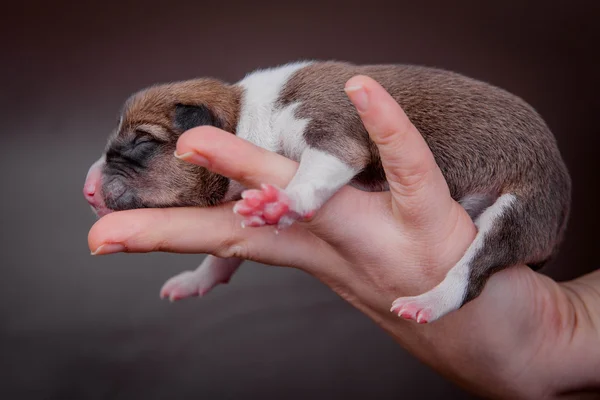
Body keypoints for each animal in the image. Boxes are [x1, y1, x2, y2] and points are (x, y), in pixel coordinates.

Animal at [82, 61, 568, 324]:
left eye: (141, 142)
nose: (87, 189)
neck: (247, 113)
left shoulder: (330, 131)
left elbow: (317, 169)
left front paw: (286, 200)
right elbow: (223, 258)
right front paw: (197, 278)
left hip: (523, 209)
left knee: (473, 271)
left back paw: (429, 302)